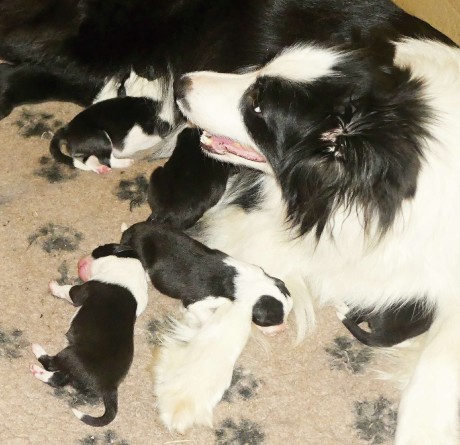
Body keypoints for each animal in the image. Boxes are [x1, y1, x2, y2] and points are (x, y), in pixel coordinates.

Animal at [30, 244, 148, 426]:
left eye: (98, 249)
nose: (81, 260)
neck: (129, 262)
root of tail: (110, 386)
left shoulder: (81, 290)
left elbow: (68, 290)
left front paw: (54, 286)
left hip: (70, 354)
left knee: (52, 365)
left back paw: (37, 350)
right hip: (72, 370)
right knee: (57, 379)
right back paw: (38, 371)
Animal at [120, 221, 293, 335]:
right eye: (271, 321)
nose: (284, 328)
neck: (242, 280)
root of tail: (130, 231)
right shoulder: (196, 301)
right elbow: (207, 316)